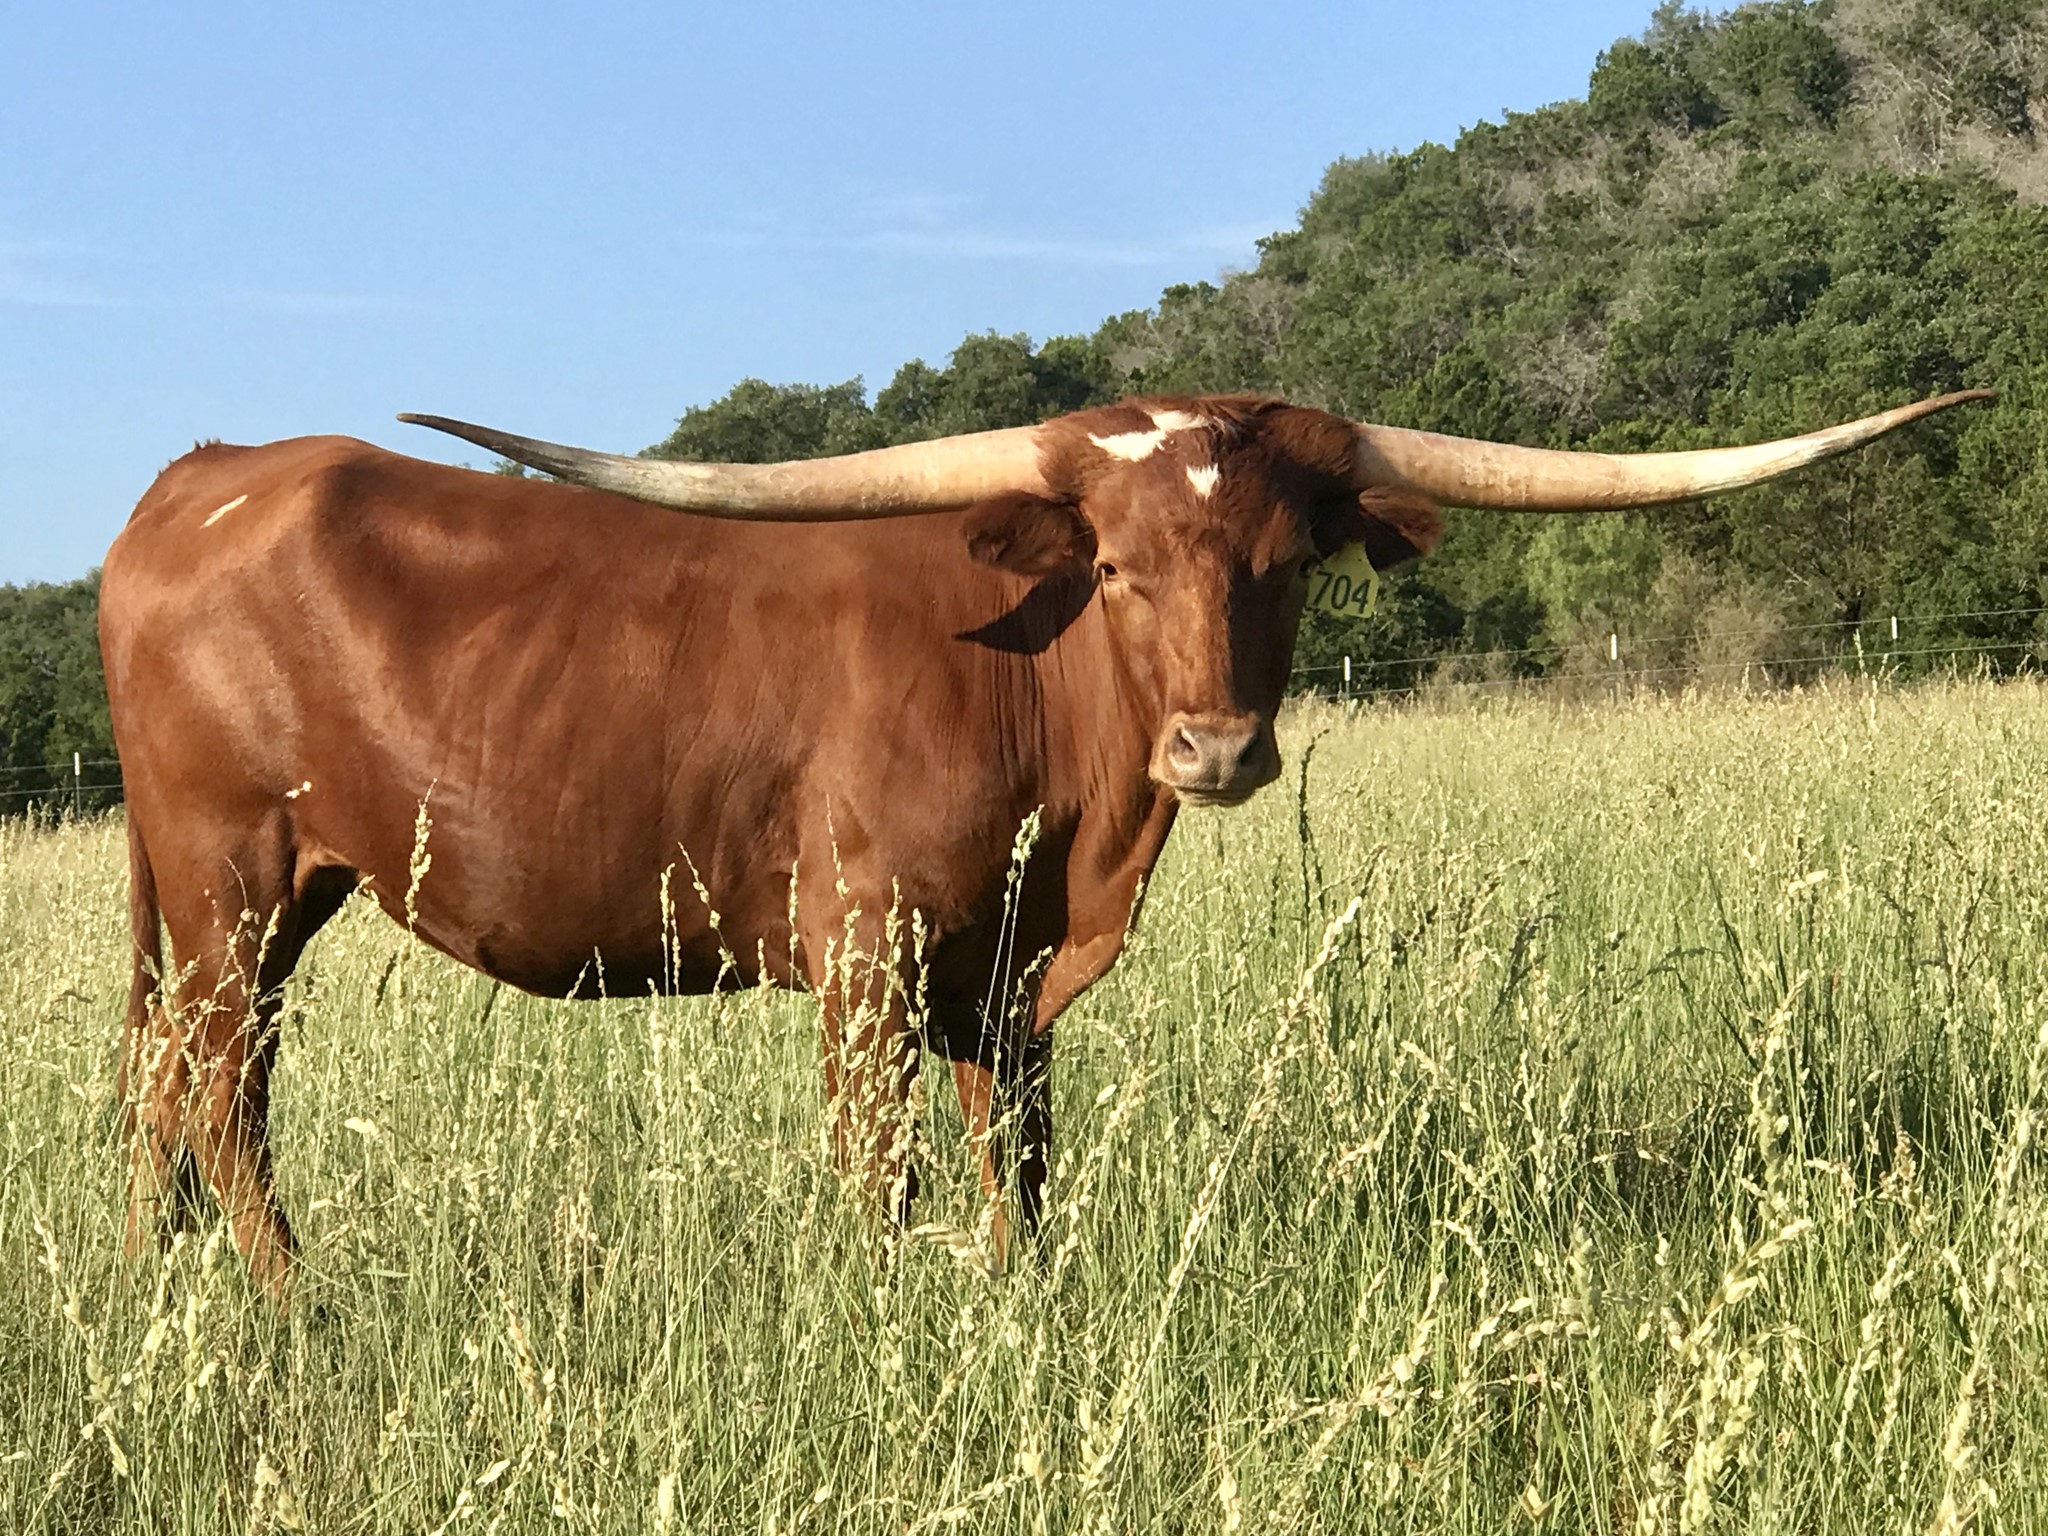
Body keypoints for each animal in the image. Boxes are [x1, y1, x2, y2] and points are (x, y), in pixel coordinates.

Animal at [99, 388, 1988, 1296]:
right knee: (223, 1091)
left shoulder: (999, 975)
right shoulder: (864, 950)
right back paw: (290, 1301)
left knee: (167, 1090)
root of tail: (204, 473)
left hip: (242, 897)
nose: (1216, 748)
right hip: (230, 880)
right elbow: (885, 1168)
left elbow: (1017, 1158)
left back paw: (169, 1287)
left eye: (1284, 565)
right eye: (1124, 566)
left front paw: (1022, 1303)